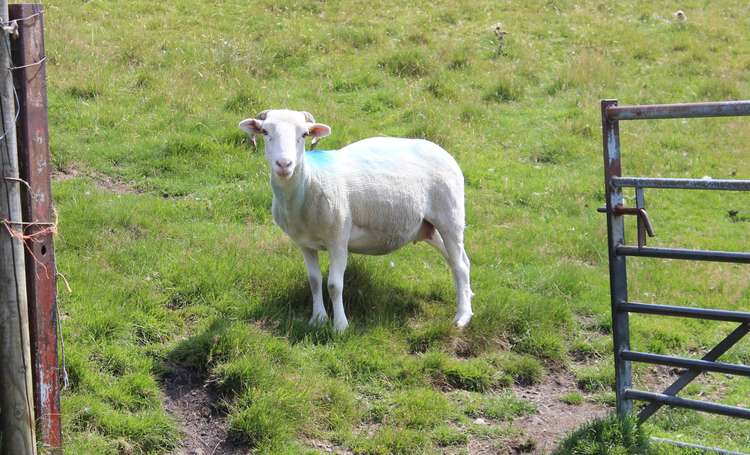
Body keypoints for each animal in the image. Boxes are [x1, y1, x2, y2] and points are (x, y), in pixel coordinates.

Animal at [241, 110, 476, 332]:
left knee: (459, 265)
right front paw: (318, 319)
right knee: (459, 261)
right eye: (265, 132)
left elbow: (334, 285)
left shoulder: (338, 240)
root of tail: (442, 151)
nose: (284, 164)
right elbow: (315, 282)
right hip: (429, 227)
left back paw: (462, 316)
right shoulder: (305, 244)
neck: (310, 182)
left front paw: (340, 326)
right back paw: (467, 295)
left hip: (450, 218)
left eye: (304, 134)